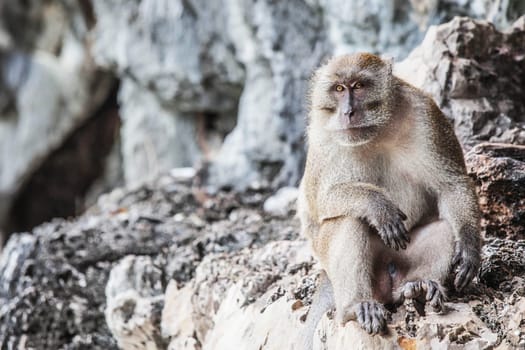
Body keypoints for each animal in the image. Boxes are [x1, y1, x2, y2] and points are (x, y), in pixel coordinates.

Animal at [294, 53, 478, 340]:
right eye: (339, 89)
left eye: (359, 86)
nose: (347, 112)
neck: (376, 129)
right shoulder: (322, 134)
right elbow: (320, 201)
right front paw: (378, 205)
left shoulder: (426, 113)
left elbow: (451, 184)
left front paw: (469, 246)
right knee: (348, 221)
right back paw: (356, 306)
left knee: (444, 229)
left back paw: (419, 287)